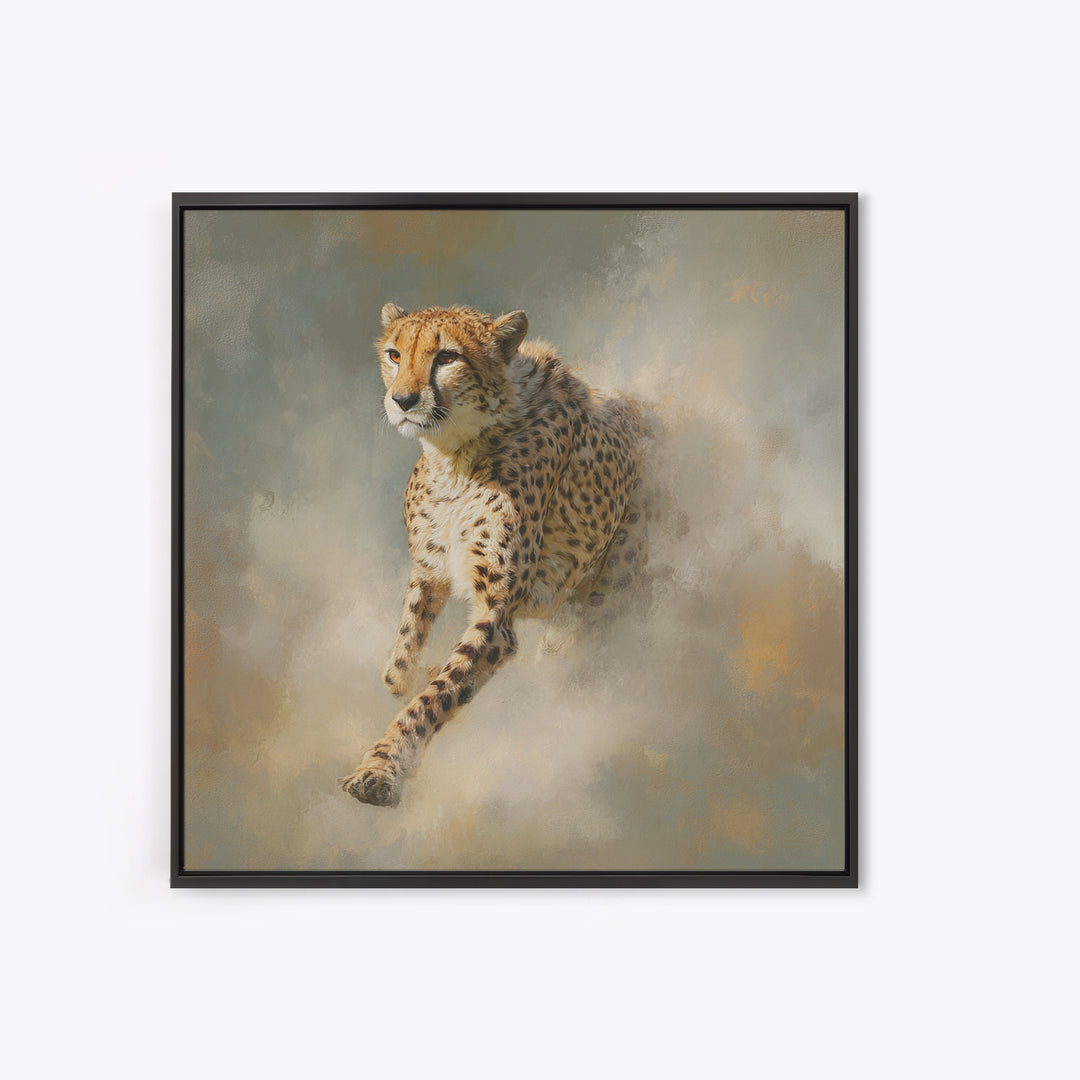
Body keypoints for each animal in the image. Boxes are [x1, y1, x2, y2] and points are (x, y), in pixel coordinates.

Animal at [341, 303, 648, 807]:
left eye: (447, 357)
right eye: (394, 354)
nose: (402, 400)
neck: (455, 458)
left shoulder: (496, 615)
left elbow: (434, 696)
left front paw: (382, 768)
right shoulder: (430, 567)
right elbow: (401, 662)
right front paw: (409, 675)